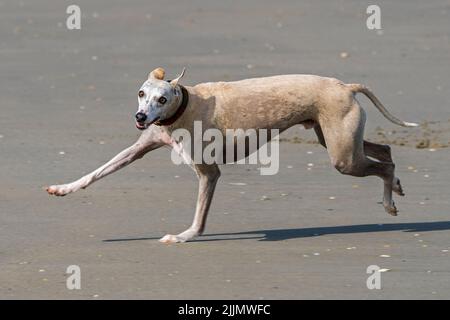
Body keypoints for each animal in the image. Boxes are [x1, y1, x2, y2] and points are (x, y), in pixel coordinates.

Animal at [46, 67, 418, 242]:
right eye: (141, 93)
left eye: (162, 99)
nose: (140, 117)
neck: (183, 106)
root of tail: (345, 85)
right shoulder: (138, 148)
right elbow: (96, 172)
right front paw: (62, 188)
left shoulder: (209, 173)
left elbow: (199, 217)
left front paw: (183, 236)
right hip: (335, 141)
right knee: (386, 152)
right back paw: (397, 188)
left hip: (342, 156)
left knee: (383, 165)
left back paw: (389, 202)